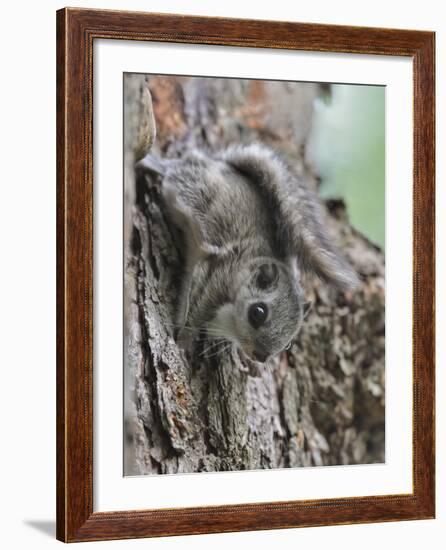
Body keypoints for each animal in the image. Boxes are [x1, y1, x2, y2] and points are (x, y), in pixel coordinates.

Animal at [139, 144, 358, 364]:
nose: (261, 357)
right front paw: (182, 341)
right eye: (258, 313)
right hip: (191, 189)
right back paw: (153, 163)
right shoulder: (216, 277)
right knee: (172, 170)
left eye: (289, 342)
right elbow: (194, 310)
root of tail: (215, 163)